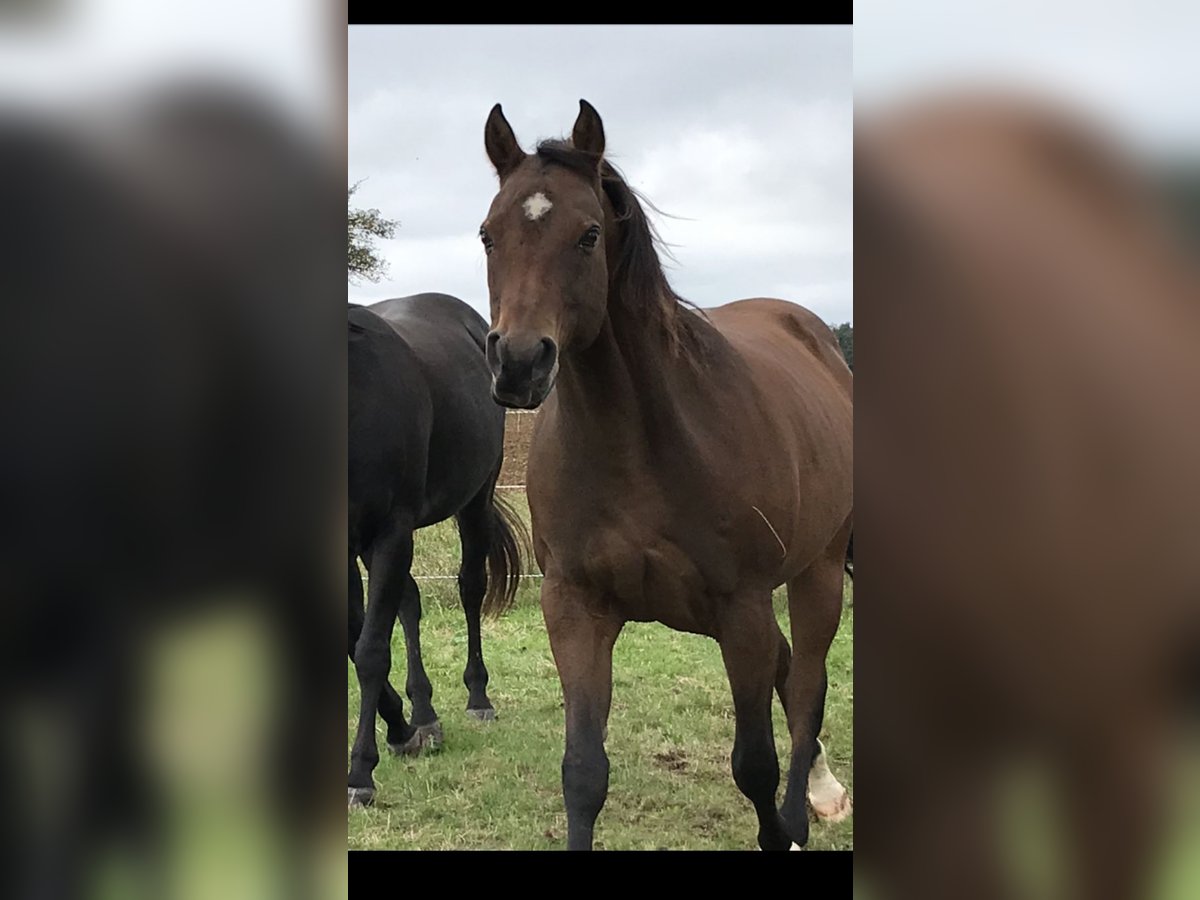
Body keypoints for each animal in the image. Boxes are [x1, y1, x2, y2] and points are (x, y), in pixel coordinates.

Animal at [477, 100, 854, 854]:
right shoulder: (575, 608)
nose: (520, 364)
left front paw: (782, 828)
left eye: (588, 234)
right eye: (487, 235)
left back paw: (812, 803)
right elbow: (583, 772)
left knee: (805, 693)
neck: (640, 447)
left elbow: (756, 764)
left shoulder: (742, 610)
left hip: (819, 573)